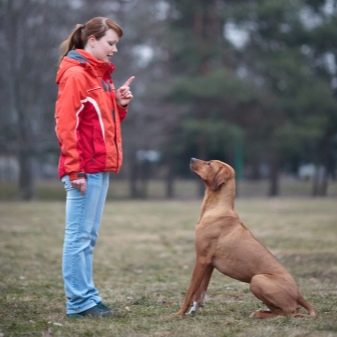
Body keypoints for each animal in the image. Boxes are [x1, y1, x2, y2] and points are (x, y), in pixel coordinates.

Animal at [177, 158, 316, 318]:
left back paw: (260, 314)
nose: (191, 159)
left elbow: (190, 291)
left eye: (209, 164)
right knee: (284, 310)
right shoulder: (209, 264)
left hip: (257, 280)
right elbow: (200, 292)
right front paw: (193, 310)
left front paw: (178, 313)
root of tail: (299, 294)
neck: (217, 209)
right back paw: (260, 312)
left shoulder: (202, 259)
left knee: (289, 311)